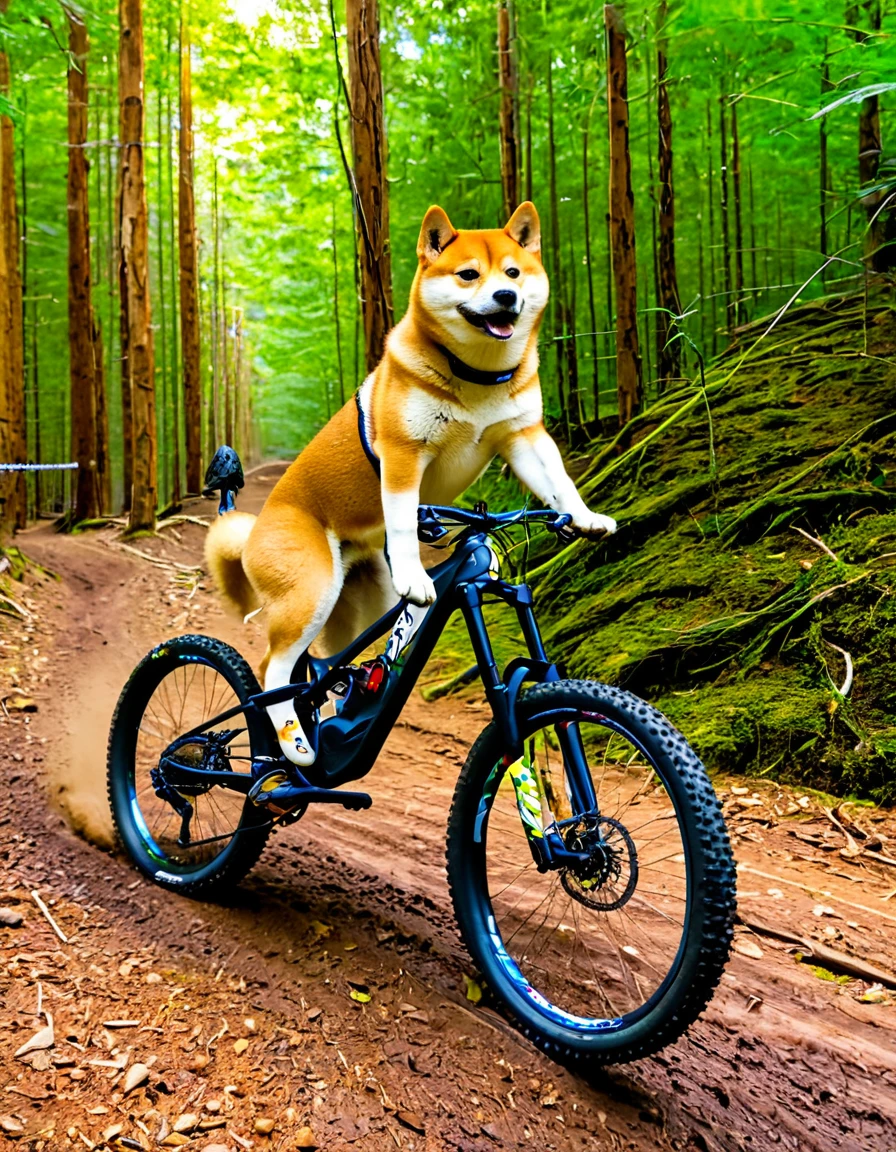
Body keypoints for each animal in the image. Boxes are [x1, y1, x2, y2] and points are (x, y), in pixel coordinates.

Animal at [203, 202, 612, 769]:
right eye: (469, 275)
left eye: (513, 273)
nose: (505, 297)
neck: (477, 380)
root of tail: (255, 528)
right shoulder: (403, 455)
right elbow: (400, 517)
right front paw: (417, 576)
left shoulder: (523, 437)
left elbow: (559, 482)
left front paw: (585, 516)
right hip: (310, 592)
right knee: (273, 670)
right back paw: (295, 744)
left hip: (361, 598)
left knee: (330, 668)